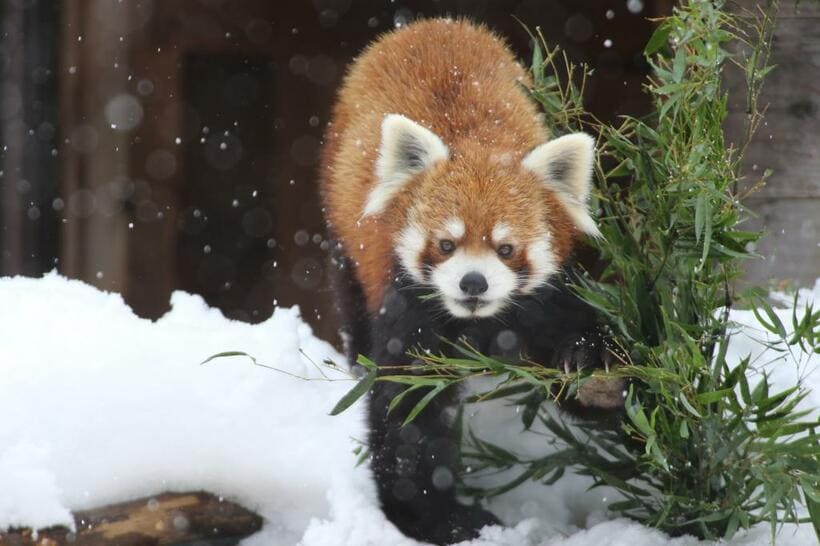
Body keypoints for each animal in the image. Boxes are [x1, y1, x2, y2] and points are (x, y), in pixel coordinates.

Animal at [320, 18, 608, 544]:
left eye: (506, 249)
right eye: (446, 245)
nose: (473, 284)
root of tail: (428, 24)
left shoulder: (545, 298)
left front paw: (590, 367)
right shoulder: (407, 303)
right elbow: (408, 408)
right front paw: (434, 518)